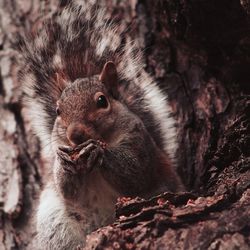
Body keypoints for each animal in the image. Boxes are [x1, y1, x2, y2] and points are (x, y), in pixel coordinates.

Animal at [17, 0, 184, 250]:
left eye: (102, 101)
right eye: (58, 111)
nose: (75, 135)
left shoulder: (140, 142)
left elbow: (136, 175)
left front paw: (98, 152)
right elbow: (68, 191)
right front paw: (64, 162)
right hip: (56, 223)